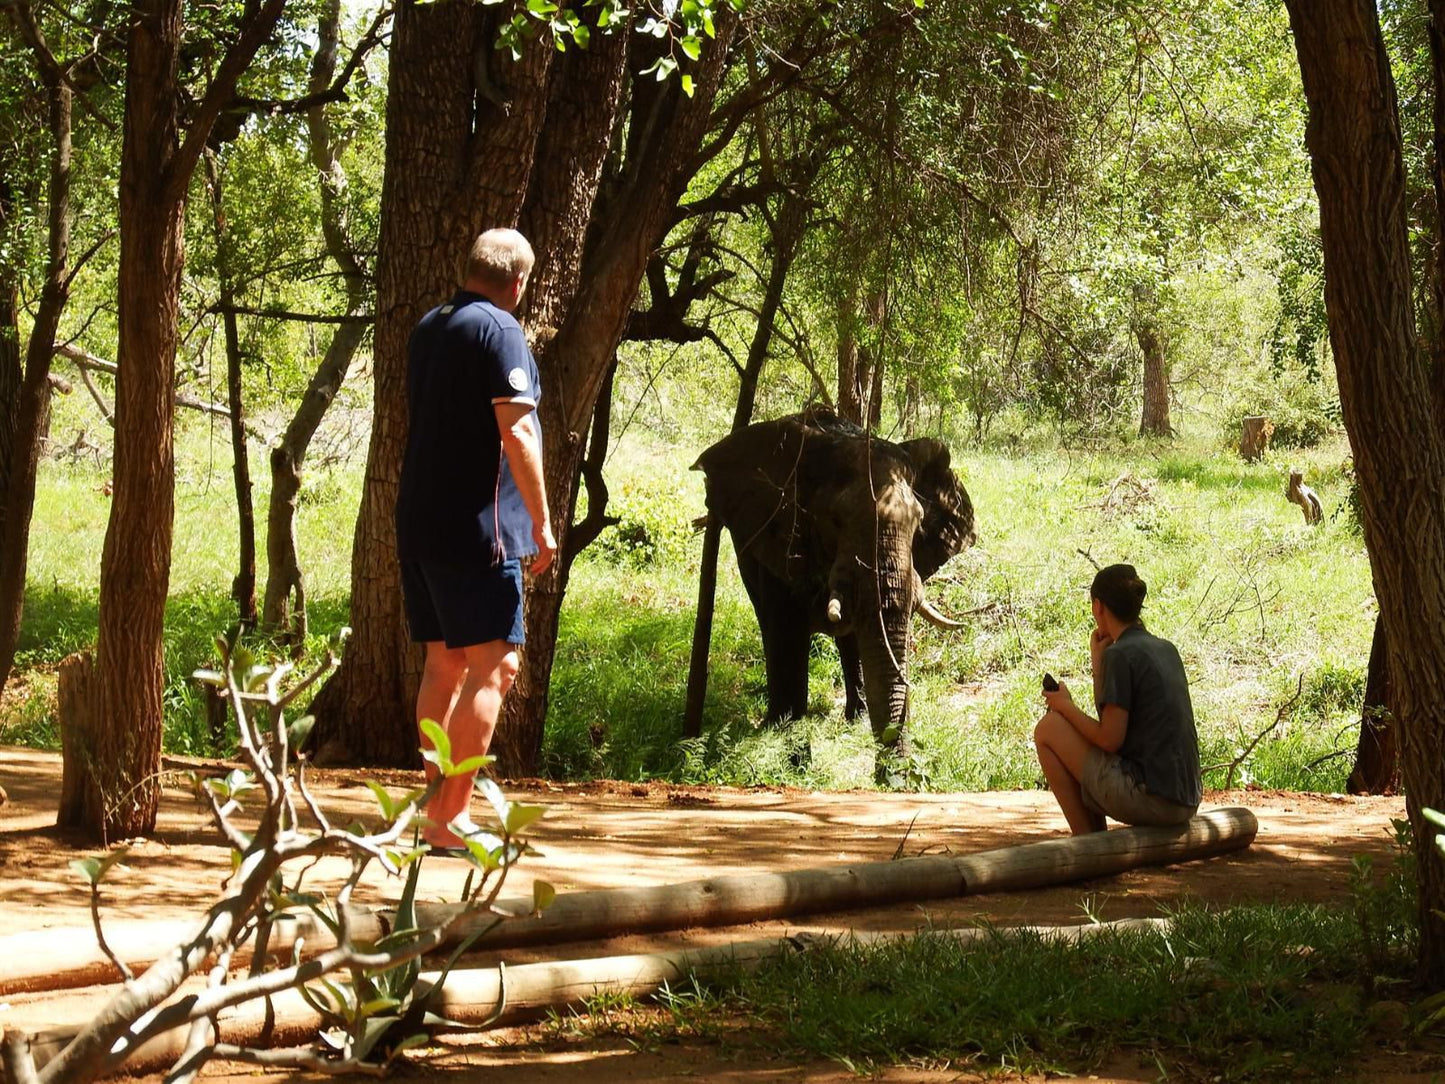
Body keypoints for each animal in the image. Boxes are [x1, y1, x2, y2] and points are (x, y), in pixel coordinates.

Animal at [693, 407, 976, 774]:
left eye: (918, 524)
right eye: (835, 520)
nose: (888, 777)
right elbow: (786, 636)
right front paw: (797, 766)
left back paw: (856, 719)